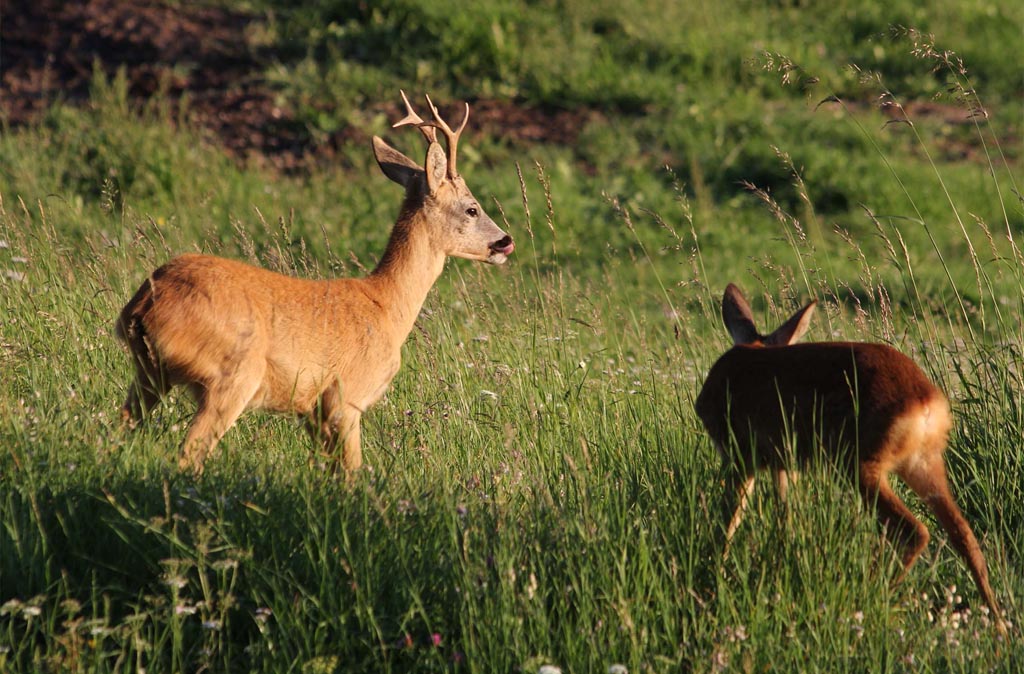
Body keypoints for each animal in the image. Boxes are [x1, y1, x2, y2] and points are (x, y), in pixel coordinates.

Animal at [116, 91, 514, 475]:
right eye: (472, 208)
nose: (505, 242)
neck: (386, 305)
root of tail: (144, 306)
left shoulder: (312, 410)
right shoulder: (346, 397)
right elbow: (353, 473)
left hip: (150, 374)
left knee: (122, 428)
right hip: (232, 375)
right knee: (188, 453)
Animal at [695, 283, 1006, 635]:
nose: (701, 405)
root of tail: (927, 404)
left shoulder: (739, 453)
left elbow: (729, 519)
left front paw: (715, 572)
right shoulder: (781, 462)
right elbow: (785, 512)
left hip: (858, 461)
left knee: (913, 530)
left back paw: (868, 595)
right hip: (924, 462)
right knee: (964, 535)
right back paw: (1000, 626)